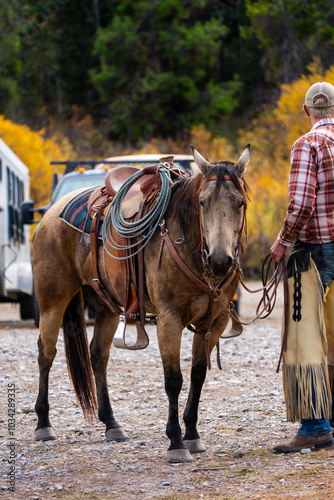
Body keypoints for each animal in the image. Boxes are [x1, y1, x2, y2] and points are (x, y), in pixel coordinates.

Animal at [32, 146, 250, 462]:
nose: (221, 261)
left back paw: (111, 424)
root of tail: (50, 214)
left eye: (240, 203)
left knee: (98, 355)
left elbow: (197, 375)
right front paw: (176, 442)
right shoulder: (169, 320)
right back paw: (43, 424)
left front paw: (192, 435)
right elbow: (174, 380)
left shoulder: (215, 321)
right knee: (46, 354)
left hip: (106, 306)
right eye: (202, 202)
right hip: (52, 301)